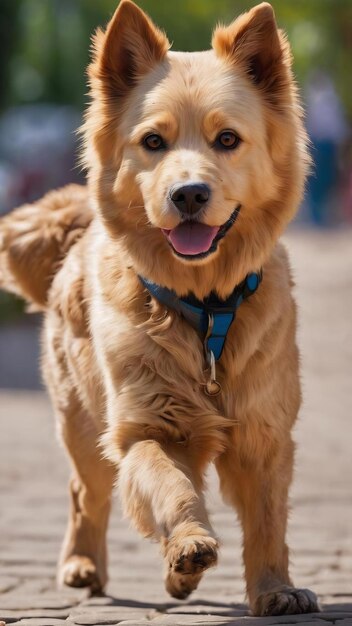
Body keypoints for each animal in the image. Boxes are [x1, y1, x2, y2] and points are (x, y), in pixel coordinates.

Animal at [0, 1, 320, 616]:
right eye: (153, 141)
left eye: (227, 139)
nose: (189, 194)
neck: (205, 305)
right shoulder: (147, 426)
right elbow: (169, 486)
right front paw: (191, 542)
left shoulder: (264, 434)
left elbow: (268, 521)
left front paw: (274, 589)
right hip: (82, 423)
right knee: (86, 492)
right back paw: (84, 564)